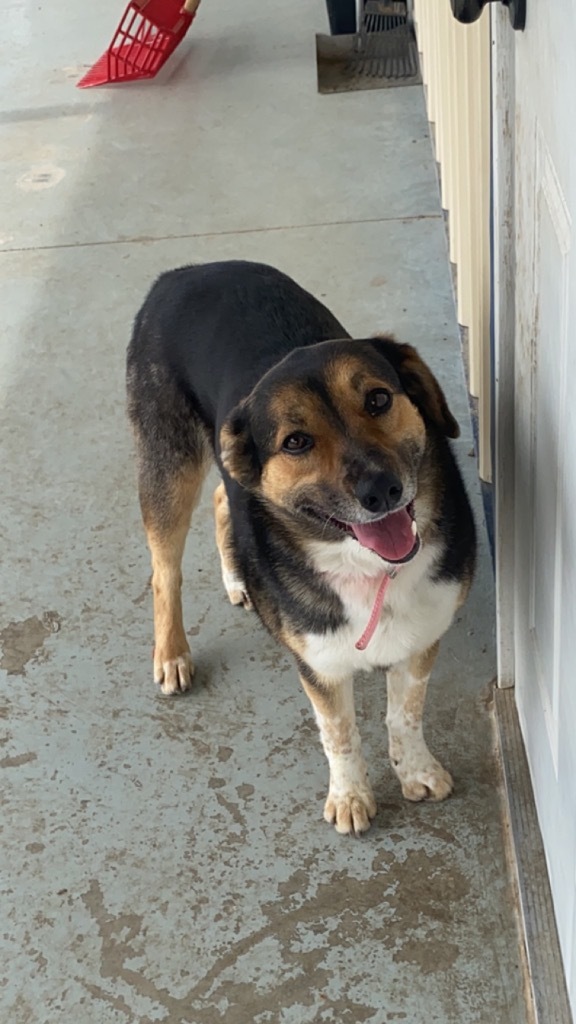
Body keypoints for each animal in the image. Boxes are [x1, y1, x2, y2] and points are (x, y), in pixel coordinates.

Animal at [126, 260, 475, 835]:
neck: (369, 568)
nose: (382, 491)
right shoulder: (320, 668)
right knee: (164, 569)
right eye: (296, 442)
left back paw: (238, 577)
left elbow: (404, 713)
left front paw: (416, 771)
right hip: (167, 465)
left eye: (378, 399)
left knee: (223, 497)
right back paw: (172, 653)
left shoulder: (420, 640)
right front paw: (351, 796)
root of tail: (184, 270)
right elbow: (339, 733)